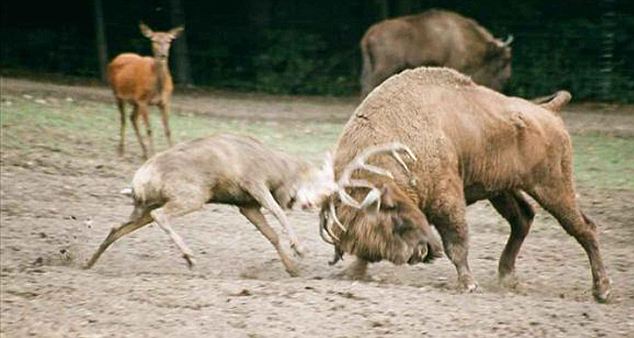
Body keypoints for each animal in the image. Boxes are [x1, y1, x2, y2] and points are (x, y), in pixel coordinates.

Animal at [107, 22, 183, 160]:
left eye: (169, 40)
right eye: (154, 40)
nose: (163, 55)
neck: (158, 88)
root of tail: (117, 57)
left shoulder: (165, 101)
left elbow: (168, 129)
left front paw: (170, 150)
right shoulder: (143, 100)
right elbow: (149, 129)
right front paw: (153, 154)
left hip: (135, 101)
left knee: (132, 118)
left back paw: (144, 151)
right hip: (117, 93)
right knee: (123, 119)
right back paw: (121, 150)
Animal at [324, 66, 608, 304]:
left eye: (393, 220)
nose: (416, 254)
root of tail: (548, 112)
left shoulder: (447, 200)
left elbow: (456, 243)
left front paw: (469, 285)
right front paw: (353, 273)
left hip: (552, 187)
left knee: (583, 228)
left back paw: (602, 290)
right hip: (502, 190)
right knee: (523, 218)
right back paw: (508, 278)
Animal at [358, 8, 512, 97]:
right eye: (503, 61)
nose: (507, 79)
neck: (460, 36)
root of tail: (370, 33)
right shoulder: (453, 65)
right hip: (385, 68)